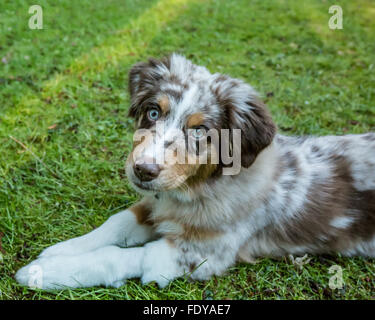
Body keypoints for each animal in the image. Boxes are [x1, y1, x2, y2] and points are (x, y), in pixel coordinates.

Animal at [15, 53, 375, 288]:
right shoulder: (156, 201)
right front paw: (60, 251)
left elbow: (117, 256)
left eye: (200, 131)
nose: (143, 171)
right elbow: (115, 224)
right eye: (153, 112)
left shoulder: (200, 254)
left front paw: (45, 273)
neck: (196, 189)